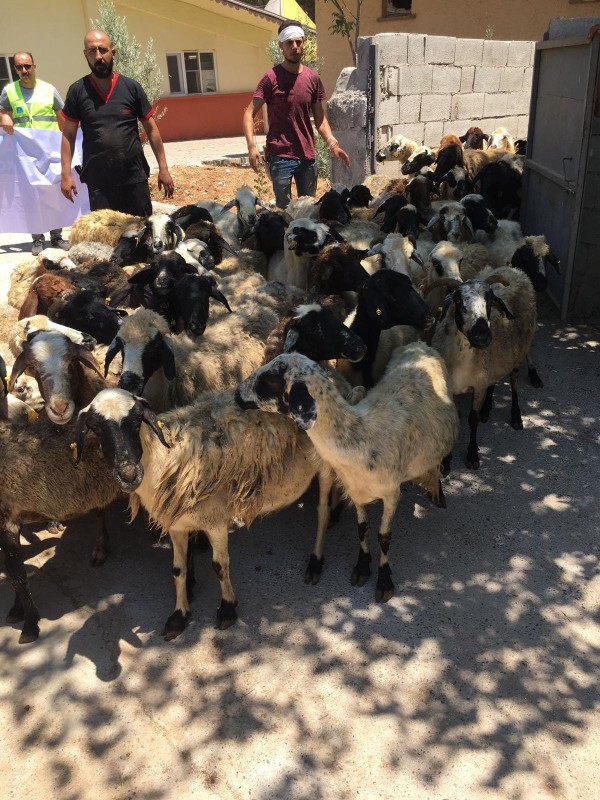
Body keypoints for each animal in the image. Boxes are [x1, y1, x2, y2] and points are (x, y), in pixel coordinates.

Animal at [428, 268, 536, 468]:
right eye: (458, 301)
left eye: (490, 301)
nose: (482, 336)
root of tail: (515, 270)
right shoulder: (453, 388)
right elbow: (455, 419)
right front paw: (446, 460)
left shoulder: (478, 386)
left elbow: (472, 419)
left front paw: (472, 455)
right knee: (494, 380)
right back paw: (487, 409)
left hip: (520, 352)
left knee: (514, 382)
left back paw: (516, 417)